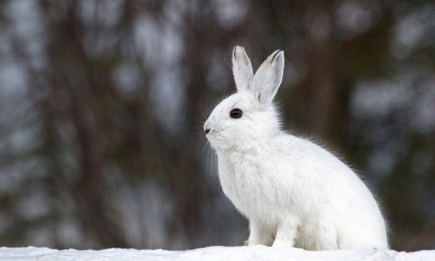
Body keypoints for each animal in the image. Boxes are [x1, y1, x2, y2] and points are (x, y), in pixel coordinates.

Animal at [204, 45, 388, 249]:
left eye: (235, 113)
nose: (206, 129)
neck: (252, 145)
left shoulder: (288, 213)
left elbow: (286, 231)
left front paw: (278, 248)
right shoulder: (258, 218)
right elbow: (257, 236)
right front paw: (252, 246)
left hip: (325, 230)